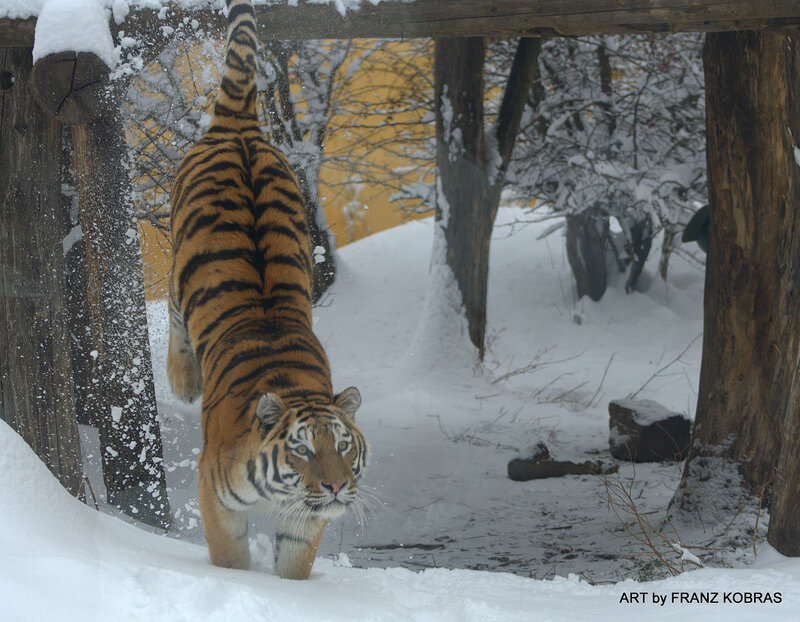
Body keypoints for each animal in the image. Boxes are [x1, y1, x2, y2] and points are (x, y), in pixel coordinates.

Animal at [166, 0, 368, 580]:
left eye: (343, 447)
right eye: (303, 451)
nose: (336, 486)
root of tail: (240, 126)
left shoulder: (303, 517)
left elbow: (294, 563)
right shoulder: (217, 497)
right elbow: (230, 557)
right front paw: (238, 585)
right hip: (176, 265)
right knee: (172, 314)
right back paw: (183, 381)